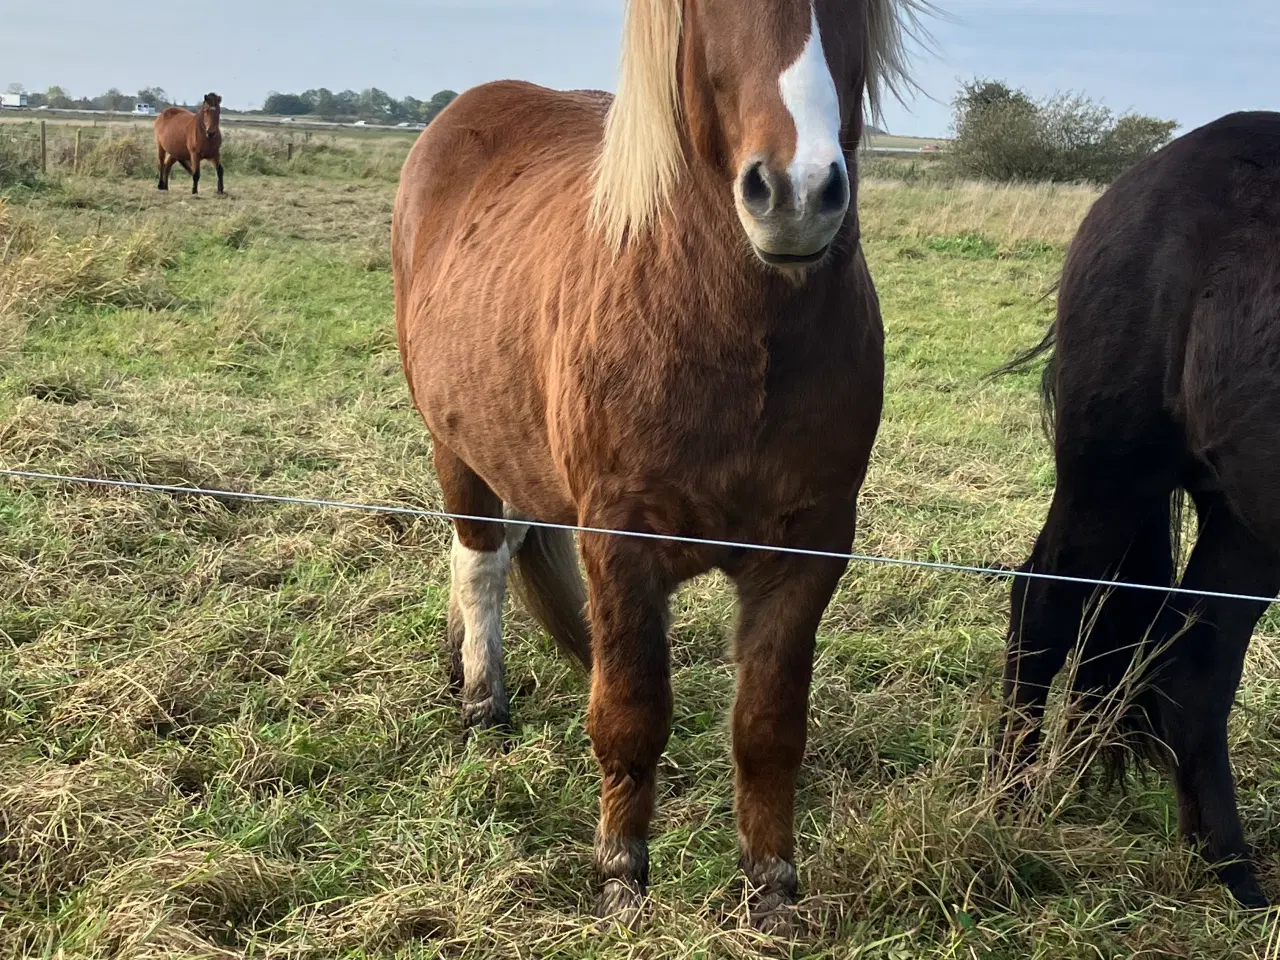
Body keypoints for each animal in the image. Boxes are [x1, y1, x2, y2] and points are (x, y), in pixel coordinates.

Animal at [394, 0, 926, 931]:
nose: (796, 194)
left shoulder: (809, 552)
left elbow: (768, 725)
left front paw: (771, 887)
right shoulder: (620, 543)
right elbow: (631, 714)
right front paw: (622, 878)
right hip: (454, 444)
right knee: (480, 559)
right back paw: (482, 699)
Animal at [993, 110, 1280, 911]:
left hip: (1240, 517)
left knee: (1198, 668)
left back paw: (1232, 874)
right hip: (1115, 470)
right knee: (1044, 604)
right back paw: (1006, 810)